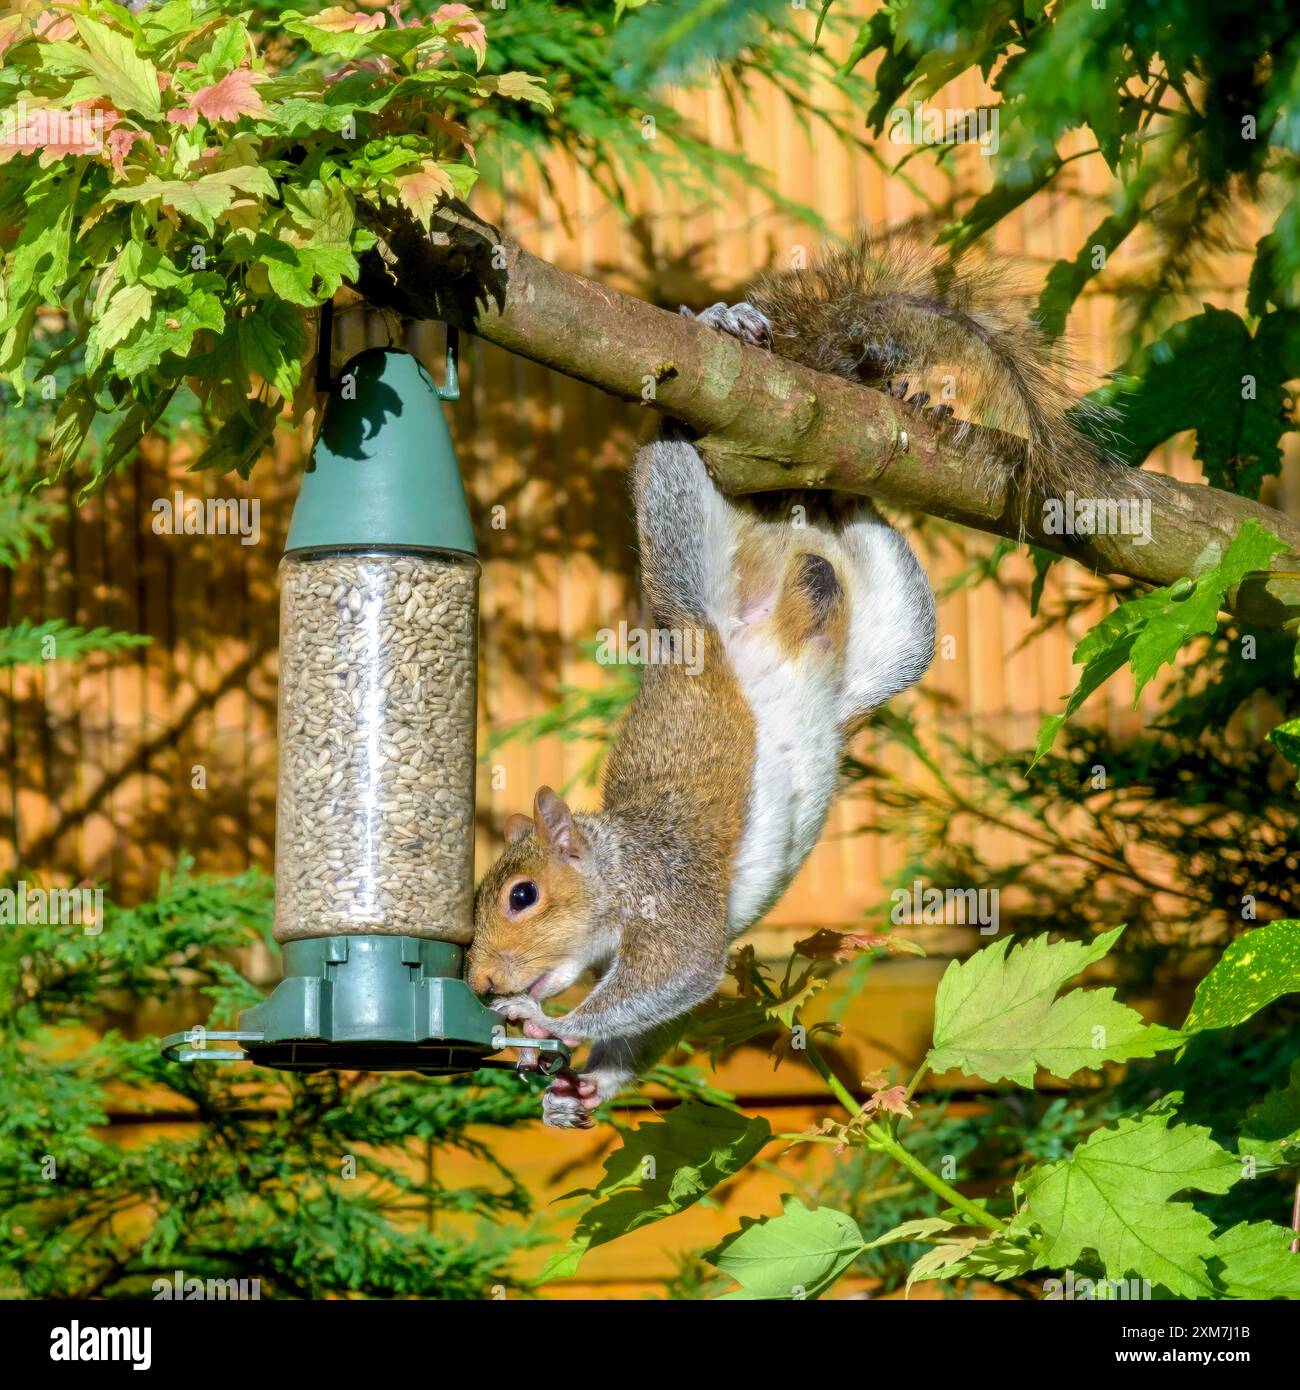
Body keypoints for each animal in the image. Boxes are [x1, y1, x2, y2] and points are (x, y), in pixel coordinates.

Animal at [469, 233, 1128, 1128]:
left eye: (523, 896)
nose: (480, 984)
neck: (618, 865)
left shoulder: (675, 894)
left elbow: (677, 975)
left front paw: (547, 1023)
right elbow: (656, 1023)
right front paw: (577, 1094)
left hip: (693, 554)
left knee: (673, 451)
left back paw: (728, 330)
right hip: (898, 633)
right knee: (858, 518)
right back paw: (861, 457)